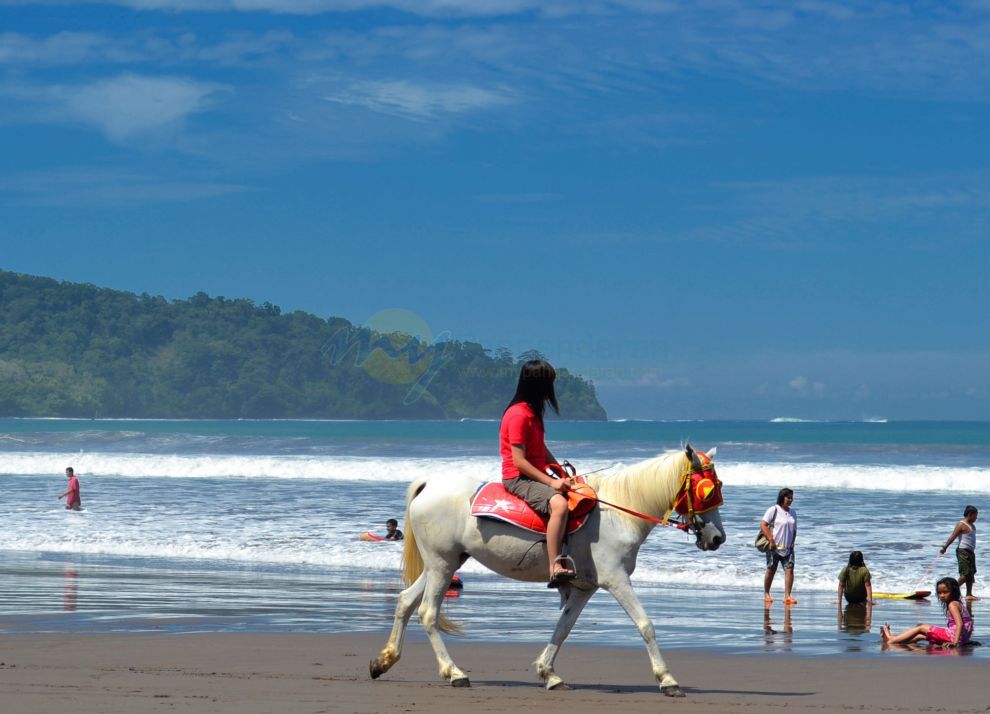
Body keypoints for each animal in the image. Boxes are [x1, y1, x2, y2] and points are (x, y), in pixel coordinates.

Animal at [368, 444, 724, 696]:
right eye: (707, 489)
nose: (717, 537)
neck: (619, 512)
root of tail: (429, 483)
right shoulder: (616, 579)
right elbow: (645, 624)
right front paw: (668, 679)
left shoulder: (583, 586)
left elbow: (562, 628)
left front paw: (548, 673)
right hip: (442, 565)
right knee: (427, 613)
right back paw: (454, 673)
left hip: (444, 562)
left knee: (406, 600)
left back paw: (384, 660)